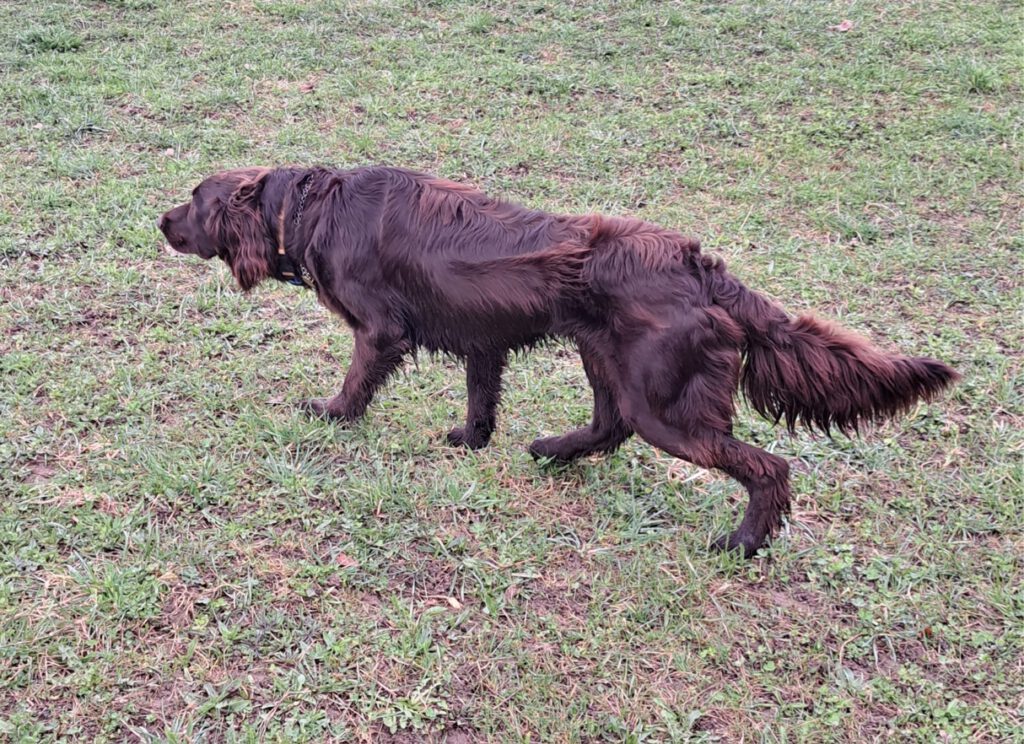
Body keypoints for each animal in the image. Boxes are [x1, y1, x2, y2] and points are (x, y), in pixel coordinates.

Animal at [155, 165, 954, 556]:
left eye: (195, 200)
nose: (158, 220)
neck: (308, 204)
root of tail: (703, 269)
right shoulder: (483, 339)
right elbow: (480, 399)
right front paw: (471, 440)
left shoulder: (381, 331)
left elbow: (357, 380)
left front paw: (330, 415)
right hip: (605, 358)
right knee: (606, 427)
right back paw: (551, 450)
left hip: (661, 400)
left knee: (766, 467)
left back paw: (743, 543)